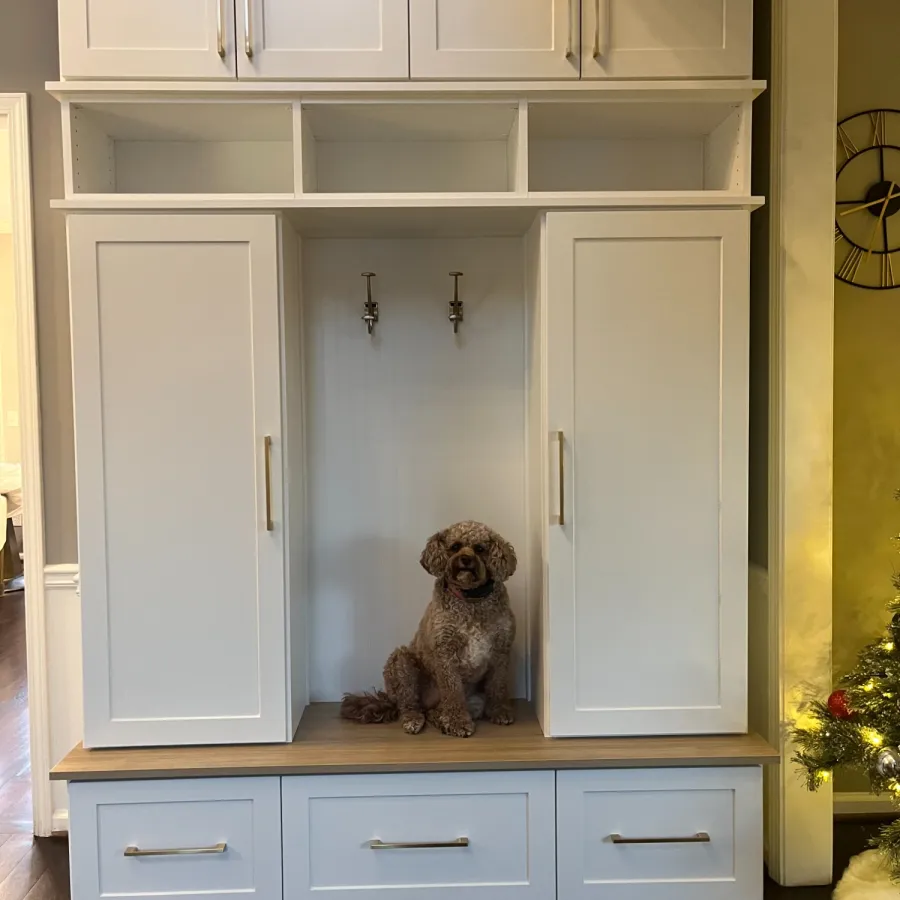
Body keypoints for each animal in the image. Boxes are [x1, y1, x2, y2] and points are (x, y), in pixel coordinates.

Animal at [340, 520, 516, 740]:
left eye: (480, 549)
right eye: (455, 546)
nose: (465, 559)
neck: (471, 600)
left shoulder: (501, 650)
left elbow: (498, 684)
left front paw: (500, 711)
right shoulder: (445, 654)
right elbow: (452, 692)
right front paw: (458, 722)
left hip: (471, 700)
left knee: (435, 711)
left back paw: (440, 720)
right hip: (401, 661)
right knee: (410, 705)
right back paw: (416, 720)